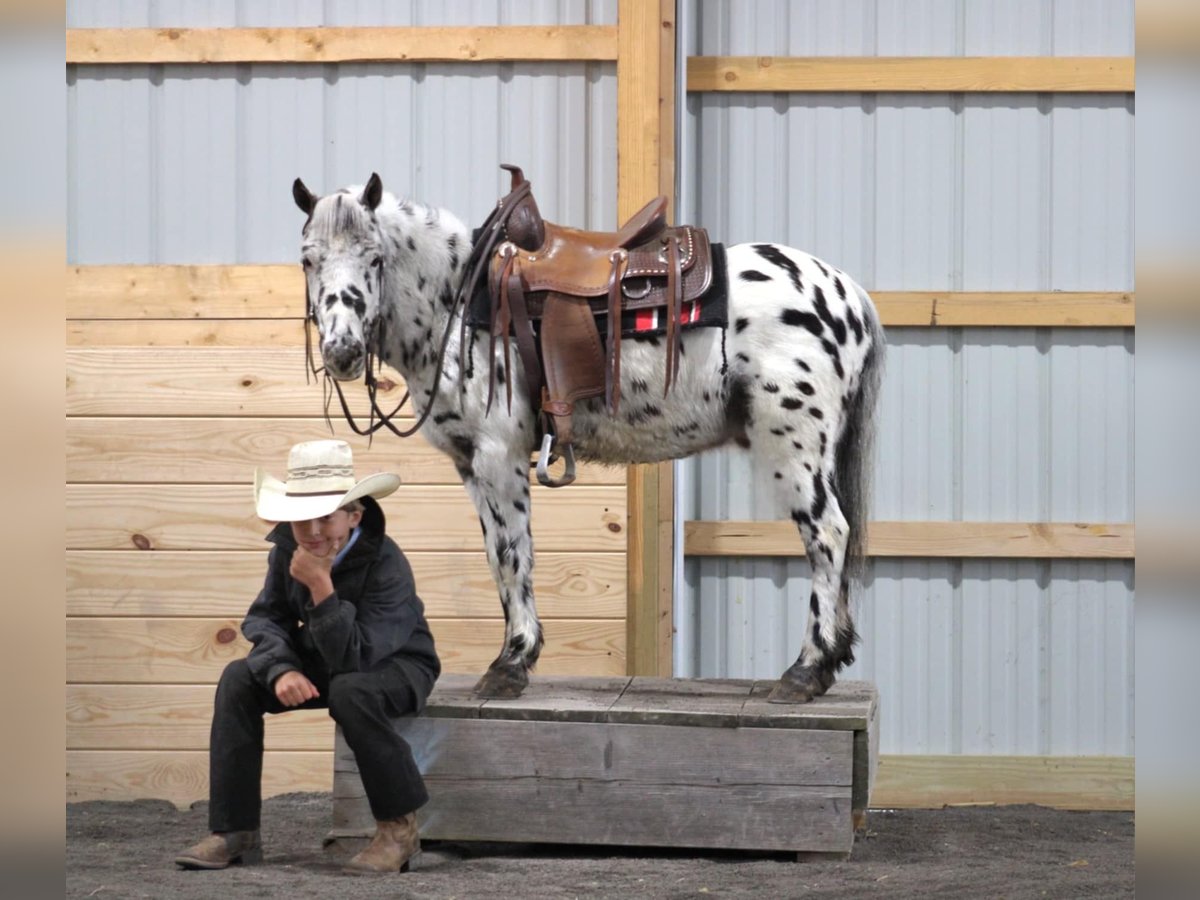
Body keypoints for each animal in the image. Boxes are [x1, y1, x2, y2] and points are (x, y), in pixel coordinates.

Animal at [295, 169, 888, 705]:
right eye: (308, 259)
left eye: (374, 257)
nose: (342, 351)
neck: (457, 303)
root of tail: (849, 294)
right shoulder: (469, 463)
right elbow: (496, 553)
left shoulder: (498, 454)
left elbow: (512, 552)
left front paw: (511, 663)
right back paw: (829, 663)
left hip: (794, 444)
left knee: (827, 534)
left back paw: (805, 671)